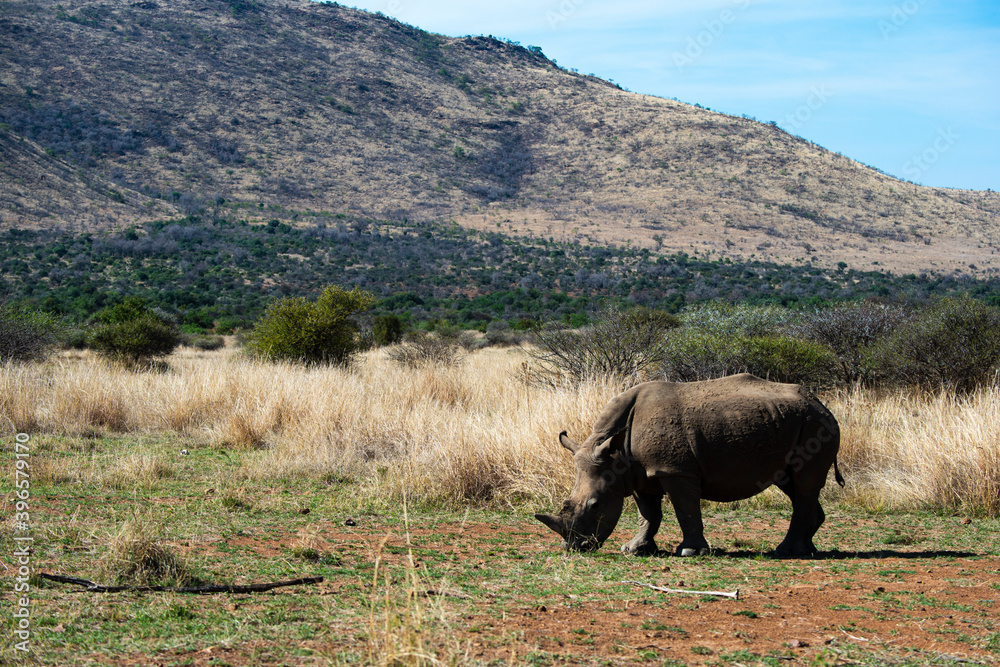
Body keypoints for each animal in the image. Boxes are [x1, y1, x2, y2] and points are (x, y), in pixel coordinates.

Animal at [536, 374, 844, 558]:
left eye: (595, 506)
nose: (575, 547)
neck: (616, 452)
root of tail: (822, 404)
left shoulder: (674, 469)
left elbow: (685, 510)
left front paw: (690, 552)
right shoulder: (638, 474)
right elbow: (648, 513)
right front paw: (635, 549)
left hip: (815, 424)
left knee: (803, 484)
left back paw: (788, 552)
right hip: (795, 422)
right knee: (793, 485)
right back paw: (809, 548)